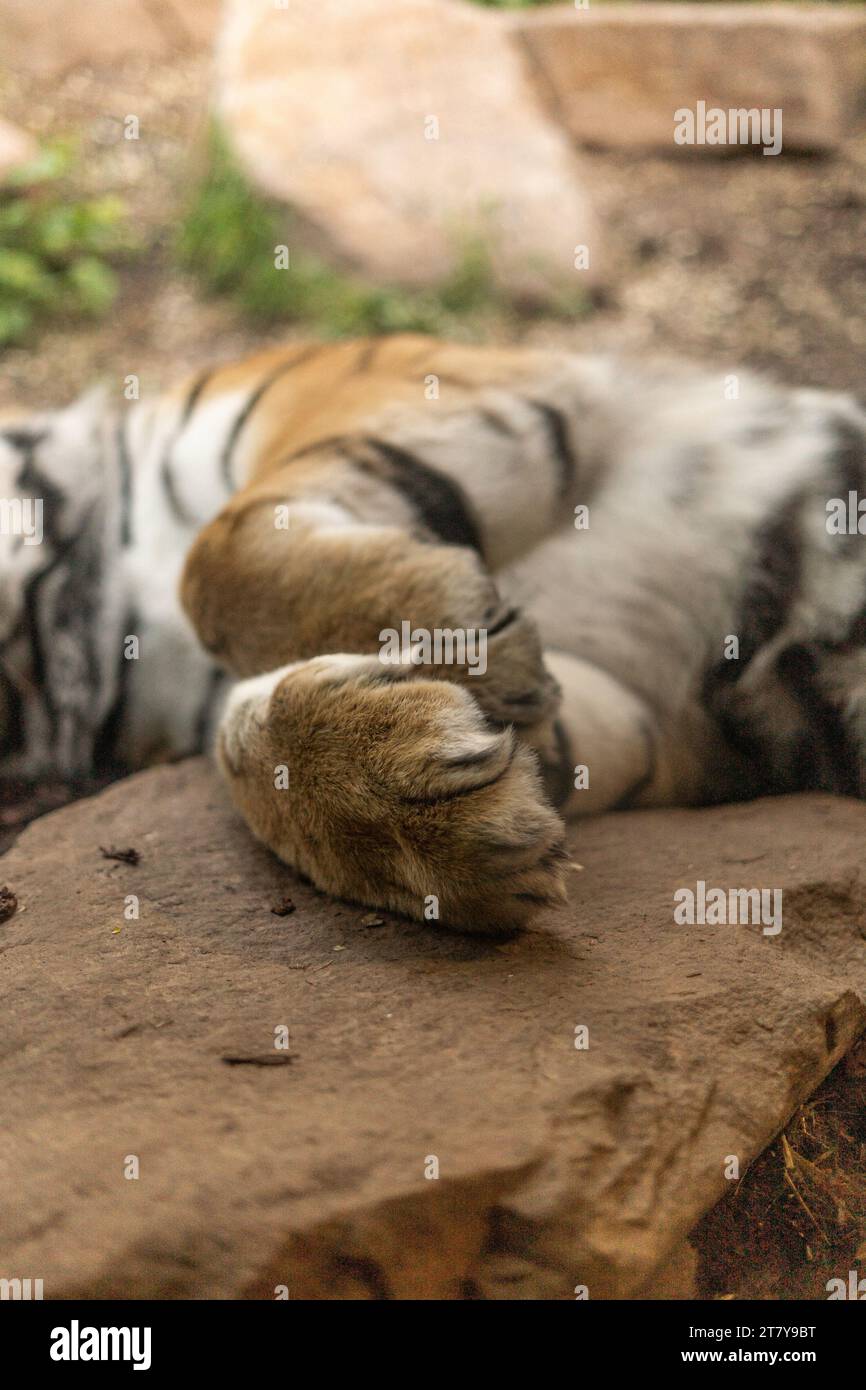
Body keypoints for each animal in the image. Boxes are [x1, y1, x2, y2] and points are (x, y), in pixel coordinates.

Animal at [1, 337, 866, 939]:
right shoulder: (654, 713)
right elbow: (241, 745)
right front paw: (435, 820)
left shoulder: (412, 384)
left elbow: (215, 558)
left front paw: (460, 628)